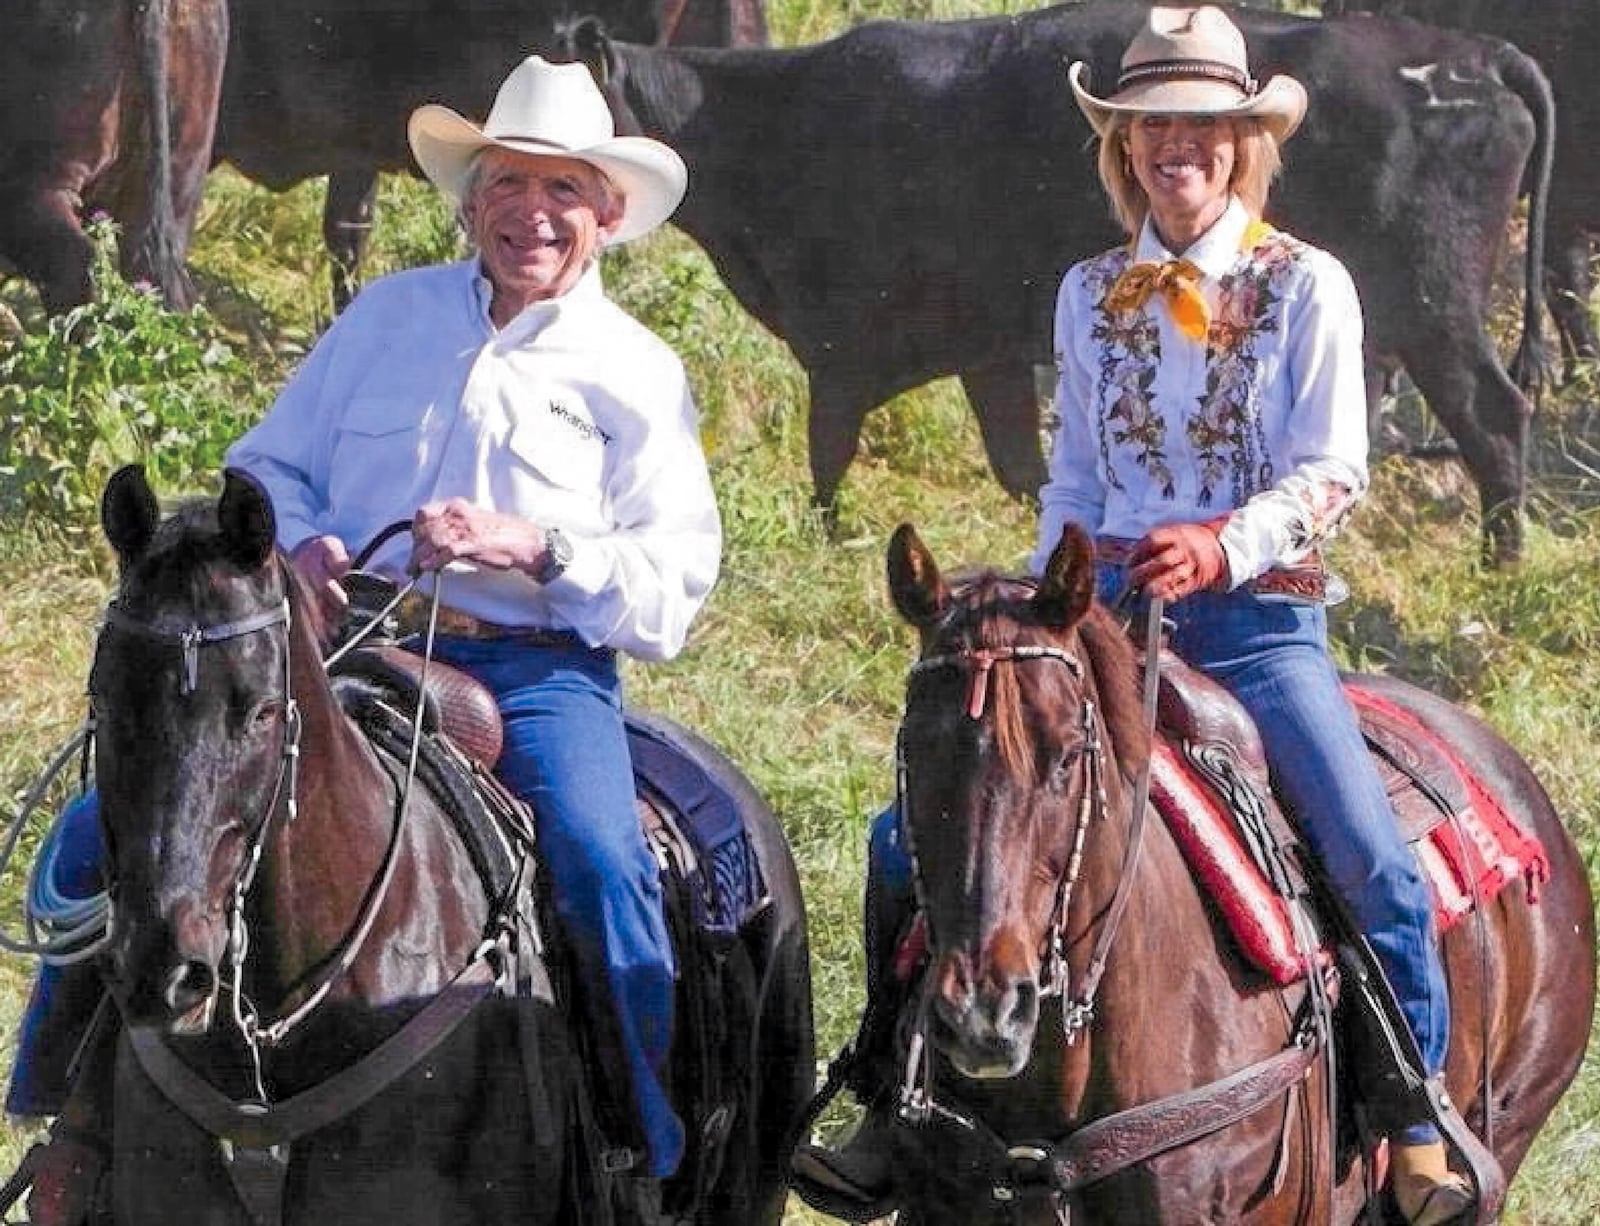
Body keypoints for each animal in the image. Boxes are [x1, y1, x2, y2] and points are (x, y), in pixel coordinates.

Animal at [572, 0, 1548, 563]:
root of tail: (1476, 53)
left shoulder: (842, 348)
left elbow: (827, 460)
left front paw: (827, 545)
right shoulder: (991, 351)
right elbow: (1024, 469)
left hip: (1435, 305)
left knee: (1495, 416)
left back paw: (1500, 565)